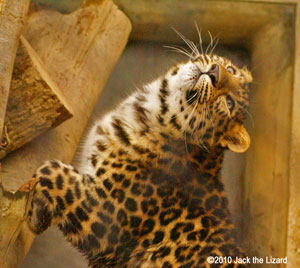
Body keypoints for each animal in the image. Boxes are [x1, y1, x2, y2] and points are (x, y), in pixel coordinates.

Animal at [27, 43, 253, 266]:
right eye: (230, 70)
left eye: (229, 103)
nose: (215, 72)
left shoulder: (101, 217)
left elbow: (50, 171)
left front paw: (33, 215)